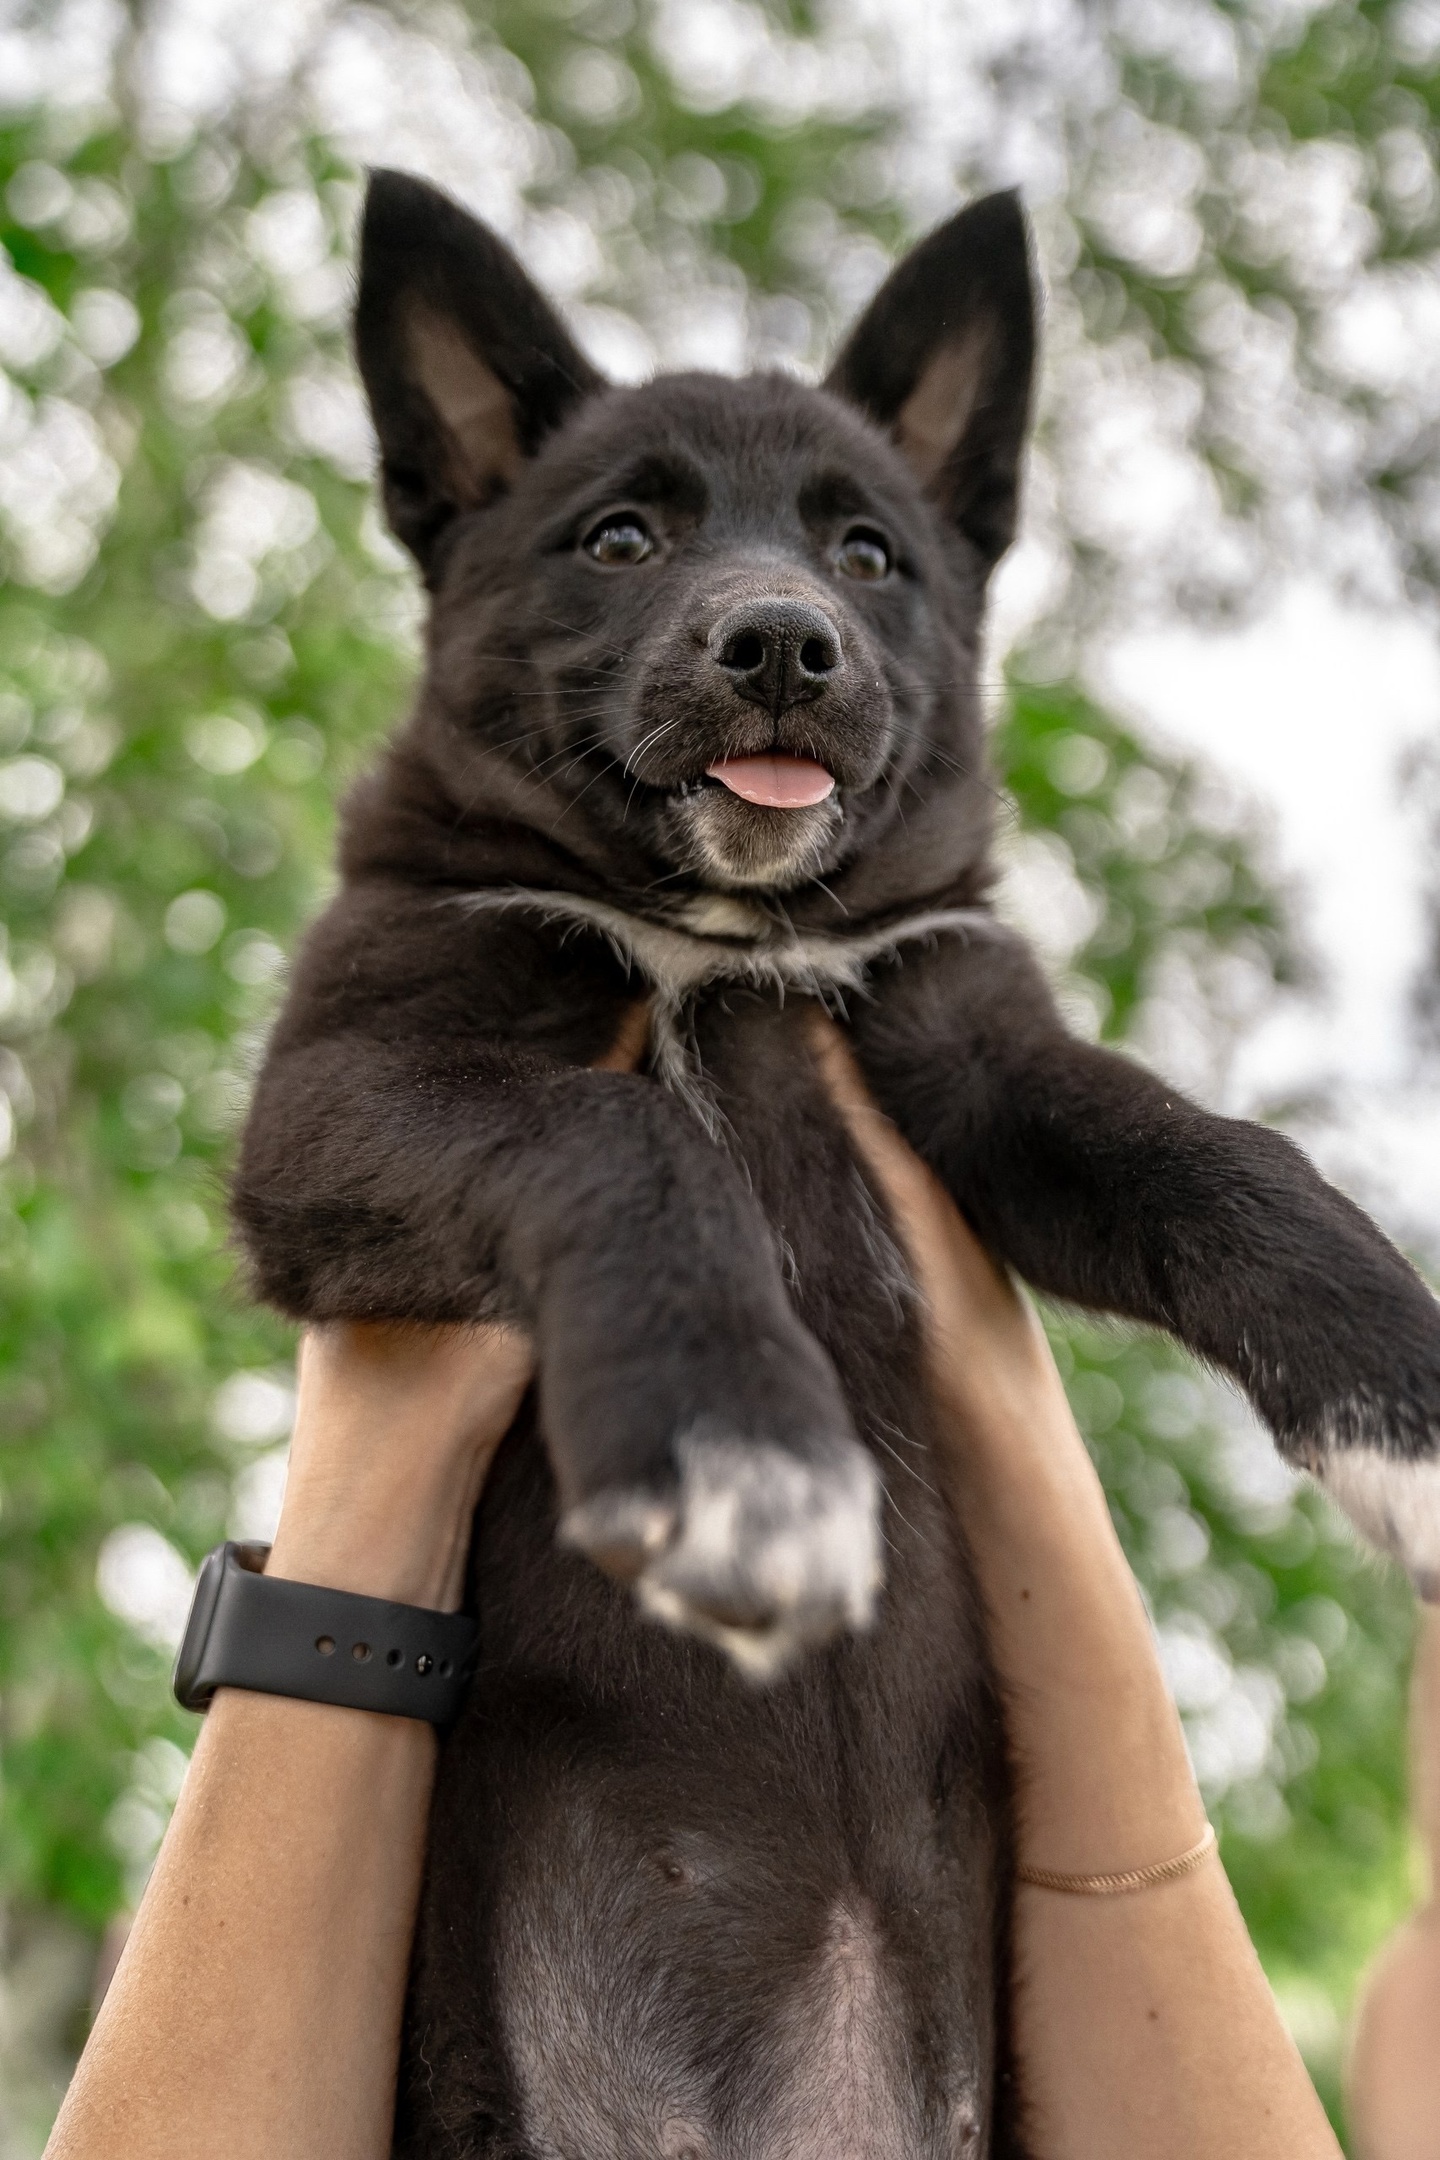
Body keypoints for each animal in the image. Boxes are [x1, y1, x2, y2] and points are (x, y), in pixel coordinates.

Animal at [236, 172, 1440, 2160]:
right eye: (622, 535)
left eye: (870, 555)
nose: (783, 643)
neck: (727, 947)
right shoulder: (338, 1093)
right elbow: (629, 1133)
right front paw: (737, 1450)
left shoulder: (978, 1053)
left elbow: (1228, 1164)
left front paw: (1409, 1422)